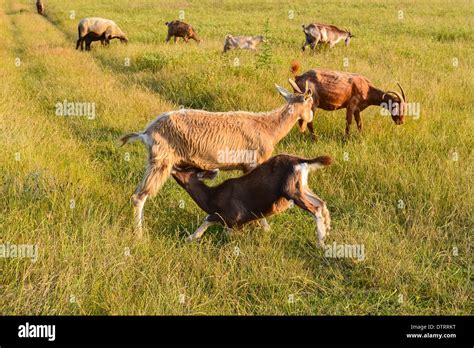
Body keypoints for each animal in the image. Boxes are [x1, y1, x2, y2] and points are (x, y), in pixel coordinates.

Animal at [119, 84, 314, 237]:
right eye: (310, 102)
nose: (310, 117)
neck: (268, 127)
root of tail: (146, 133)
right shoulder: (253, 164)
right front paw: (264, 228)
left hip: (155, 161)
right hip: (161, 161)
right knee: (139, 196)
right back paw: (140, 235)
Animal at [171, 154, 334, 246]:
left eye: (184, 168)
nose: (173, 165)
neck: (211, 197)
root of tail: (300, 161)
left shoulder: (234, 215)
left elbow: (211, 221)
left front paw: (190, 238)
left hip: (290, 190)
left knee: (316, 209)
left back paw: (321, 241)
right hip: (302, 186)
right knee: (321, 203)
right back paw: (327, 230)